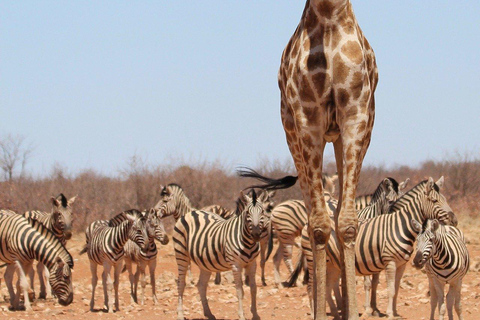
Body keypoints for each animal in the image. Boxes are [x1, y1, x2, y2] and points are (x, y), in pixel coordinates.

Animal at [173, 189, 272, 320]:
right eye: (247, 213)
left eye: (262, 212)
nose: (256, 234)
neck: (248, 243)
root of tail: (191, 212)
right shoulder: (236, 265)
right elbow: (239, 290)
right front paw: (241, 315)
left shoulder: (252, 264)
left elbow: (253, 288)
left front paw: (255, 315)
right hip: (181, 254)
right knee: (181, 283)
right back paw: (180, 314)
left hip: (205, 262)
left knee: (201, 285)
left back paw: (209, 313)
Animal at [280, 1, 376, 318]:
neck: (330, 15)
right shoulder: (307, 119)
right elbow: (319, 225)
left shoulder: (356, 115)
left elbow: (346, 221)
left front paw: (352, 310)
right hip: (292, 136)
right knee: (313, 217)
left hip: (342, 137)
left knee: (336, 212)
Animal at [298, 178, 460, 318]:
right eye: (434, 200)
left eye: (445, 199)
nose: (454, 220)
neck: (401, 226)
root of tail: (308, 223)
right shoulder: (390, 262)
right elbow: (389, 290)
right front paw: (388, 314)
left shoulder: (401, 264)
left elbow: (396, 289)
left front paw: (394, 313)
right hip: (313, 259)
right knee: (312, 286)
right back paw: (314, 313)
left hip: (332, 263)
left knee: (328, 286)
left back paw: (337, 314)